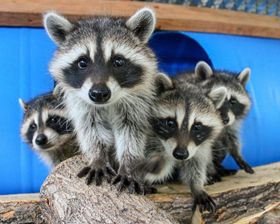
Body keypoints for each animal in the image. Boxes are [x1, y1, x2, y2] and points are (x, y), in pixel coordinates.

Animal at [42, 7, 159, 189]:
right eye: (82, 62)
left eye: (118, 61)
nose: (98, 93)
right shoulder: (82, 104)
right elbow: (91, 130)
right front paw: (98, 157)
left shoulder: (136, 102)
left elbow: (131, 132)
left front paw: (128, 164)